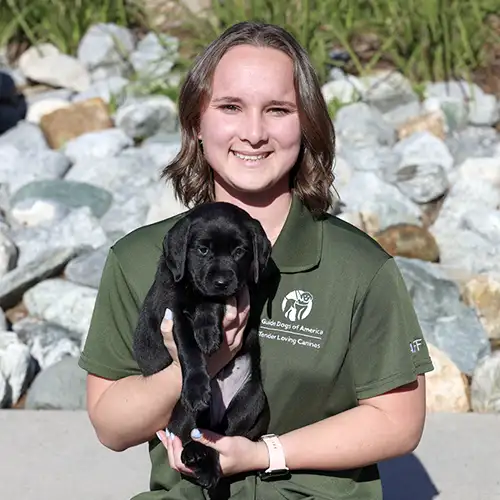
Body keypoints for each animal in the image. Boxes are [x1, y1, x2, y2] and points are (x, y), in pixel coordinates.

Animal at [133, 202, 272, 492]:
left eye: (240, 251)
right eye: (202, 250)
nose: (221, 281)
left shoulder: (238, 290)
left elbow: (212, 301)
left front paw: (207, 329)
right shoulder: (173, 311)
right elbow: (190, 350)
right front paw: (198, 384)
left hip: (252, 399)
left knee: (219, 438)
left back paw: (205, 465)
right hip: (183, 409)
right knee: (191, 433)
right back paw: (195, 456)